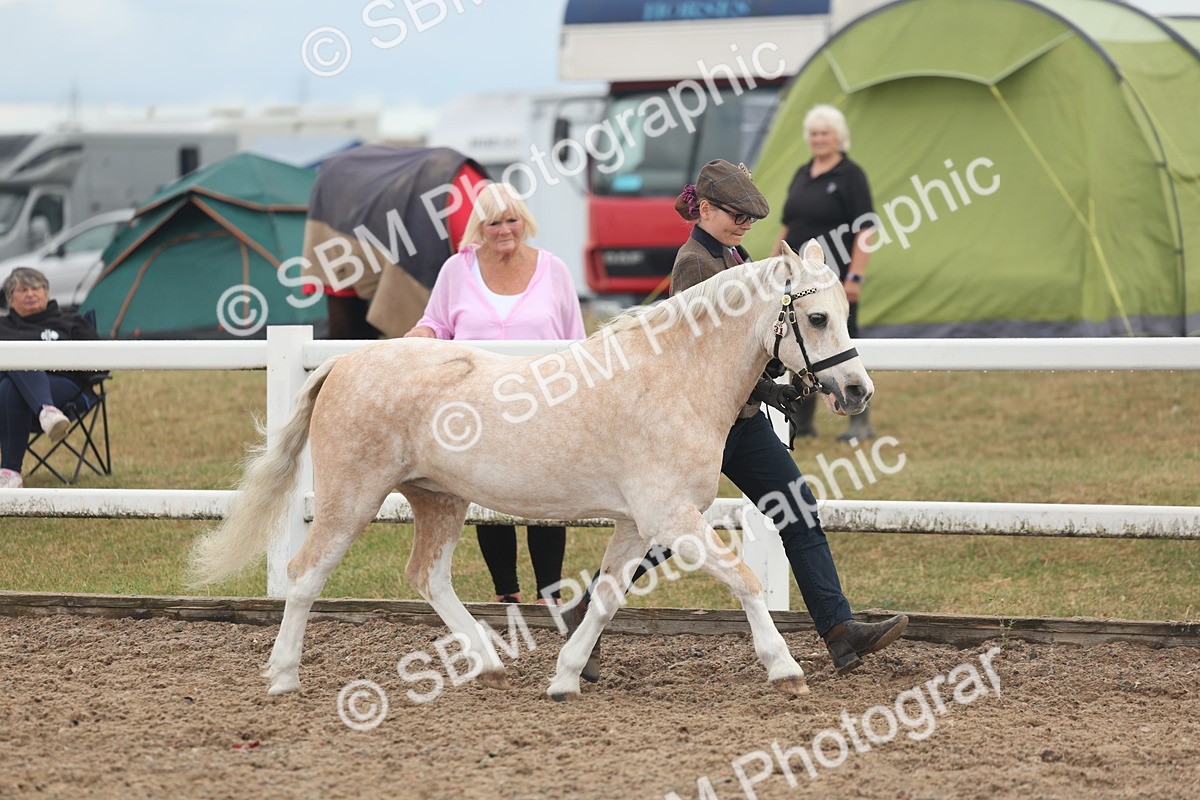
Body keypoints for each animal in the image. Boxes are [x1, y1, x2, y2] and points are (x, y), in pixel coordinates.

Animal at [187, 239, 873, 700]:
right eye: (816, 317)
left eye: (844, 313)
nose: (857, 390)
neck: (673, 376)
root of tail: (343, 364)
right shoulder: (671, 518)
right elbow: (745, 580)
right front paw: (785, 668)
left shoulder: (637, 525)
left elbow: (605, 601)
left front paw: (566, 677)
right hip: (351, 497)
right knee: (305, 575)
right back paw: (282, 677)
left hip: (439, 499)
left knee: (427, 576)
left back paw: (488, 661)